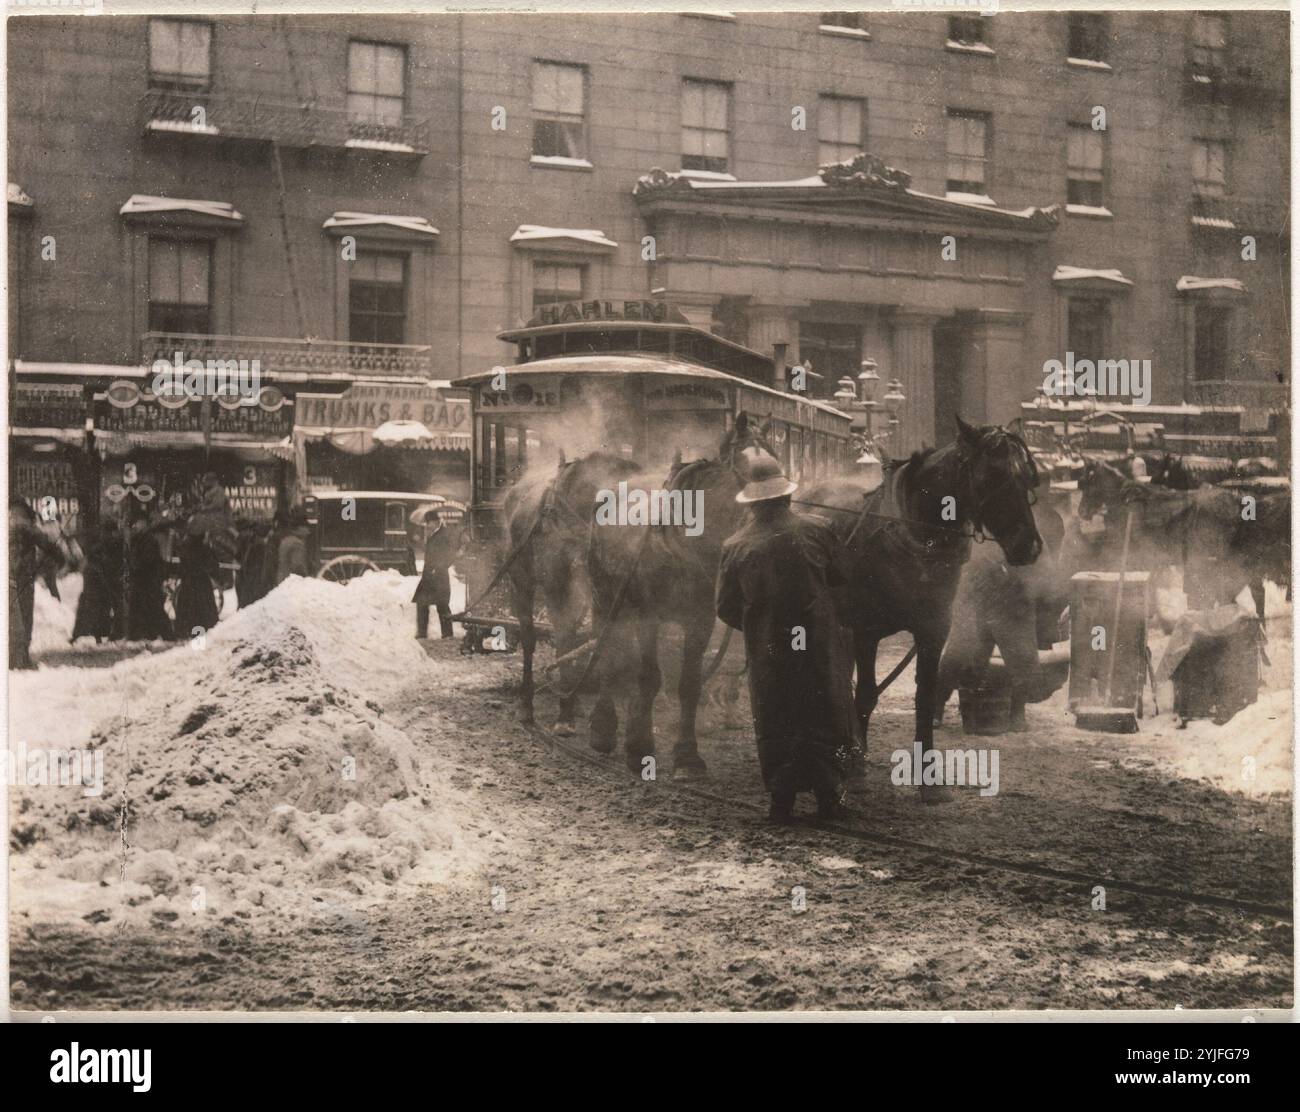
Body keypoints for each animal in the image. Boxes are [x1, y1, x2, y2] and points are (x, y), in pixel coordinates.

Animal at [582, 413, 769, 780]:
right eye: (748, 469)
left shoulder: (700, 621)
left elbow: (689, 685)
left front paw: (687, 756)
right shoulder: (649, 617)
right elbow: (649, 677)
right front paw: (639, 747)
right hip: (605, 598)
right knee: (607, 653)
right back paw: (603, 727)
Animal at [800, 416, 1045, 801]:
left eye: (1027, 477)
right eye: (992, 475)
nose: (1029, 546)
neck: (913, 538)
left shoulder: (933, 630)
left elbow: (925, 696)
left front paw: (928, 782)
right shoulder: (867, 630)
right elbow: (866, 695)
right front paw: (857, 771)